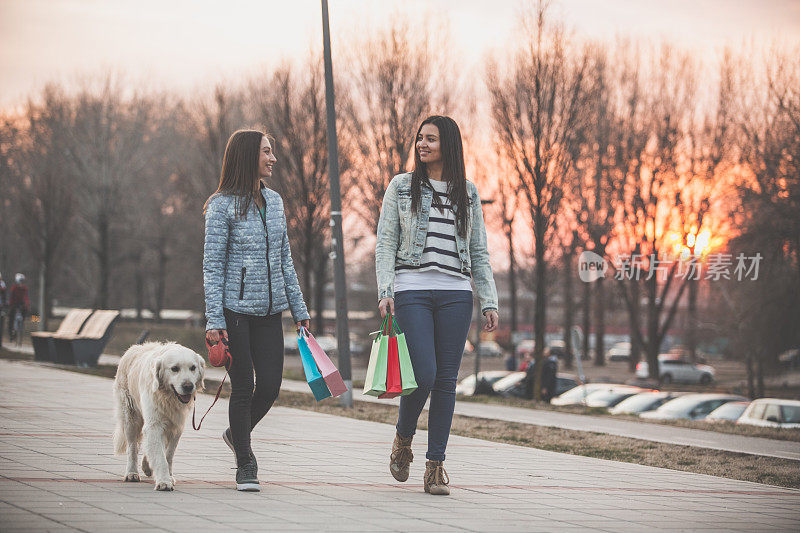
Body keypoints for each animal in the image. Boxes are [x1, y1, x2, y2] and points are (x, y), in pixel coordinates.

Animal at [114, 342, 205, 488]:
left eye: (193, 368)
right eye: (174, 369)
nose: (188, 386)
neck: (168, 397)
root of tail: (133, 348)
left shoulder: (176, 427)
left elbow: (168, 455)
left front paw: (169, 476)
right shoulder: (154, 424)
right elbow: (160, 457)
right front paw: (164, 481)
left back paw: (146, 466)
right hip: (130, 418)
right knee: (132, 447)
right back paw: (131, 473)